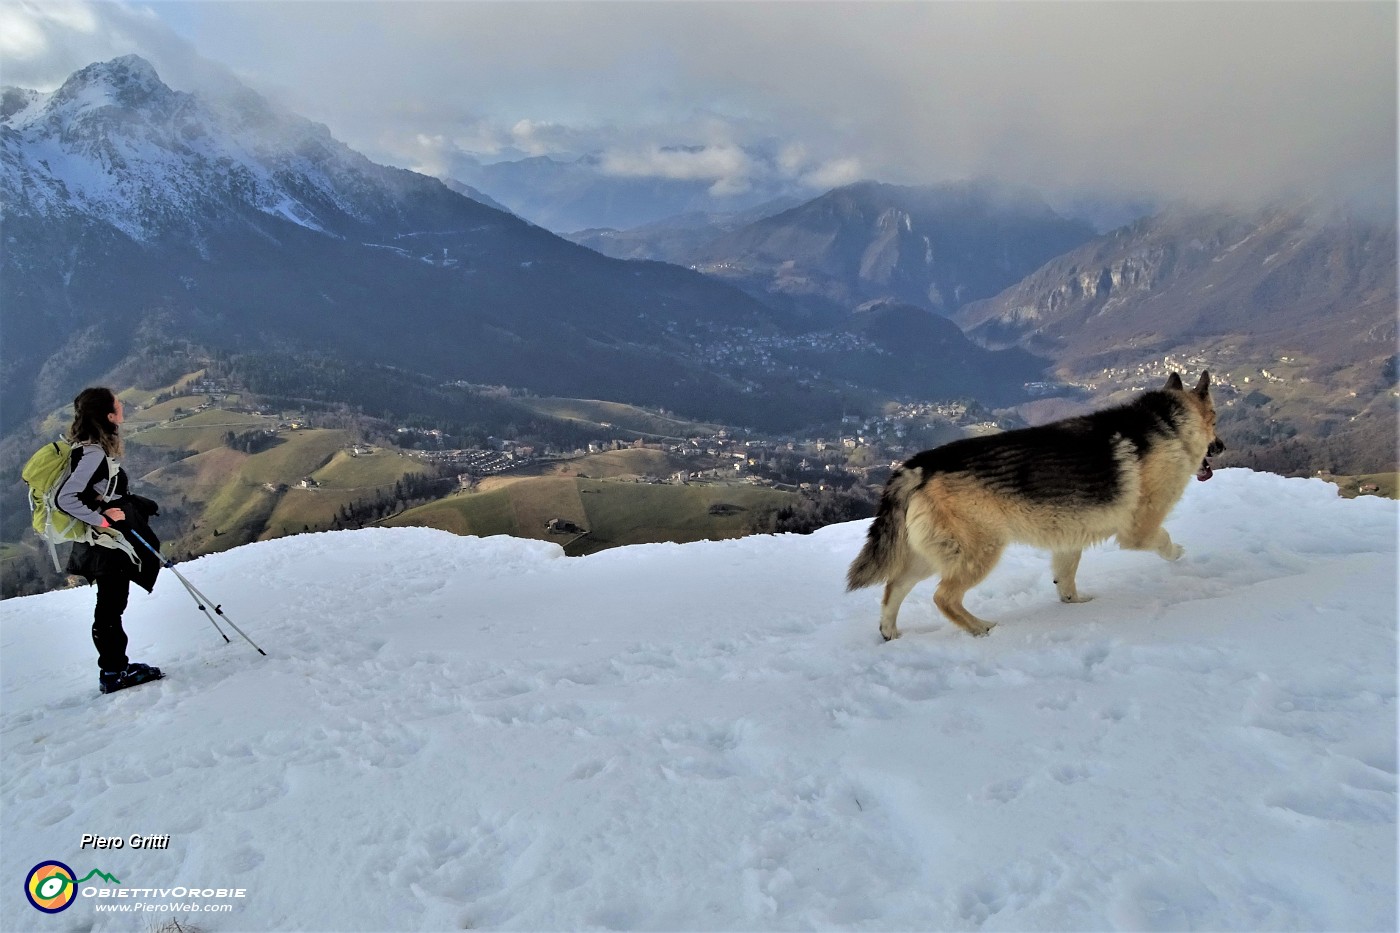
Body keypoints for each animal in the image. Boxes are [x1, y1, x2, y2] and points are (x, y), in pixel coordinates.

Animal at [840, 369, 1226, 638]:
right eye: (1216, 420)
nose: (1222, 447)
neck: (1168, 424)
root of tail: (919, 464)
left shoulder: (1070, 539)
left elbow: (1066, 582)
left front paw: (1077, 605)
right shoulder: (1139, 532)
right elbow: (1165, 541)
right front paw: (1180, 556)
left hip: (929, 556)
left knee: (893, 588)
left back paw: (890, 633)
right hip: (981, 552)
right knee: (943, 598)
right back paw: (980, 628)